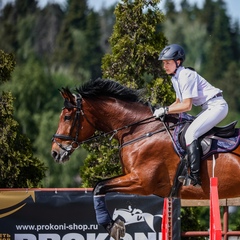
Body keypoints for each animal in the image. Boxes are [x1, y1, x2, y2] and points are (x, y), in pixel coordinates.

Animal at [51, 78, 240, 238]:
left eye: (67, 117)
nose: (55, 152)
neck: (142, 130)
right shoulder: (134, 180)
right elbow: (100, 186)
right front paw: (115, 224)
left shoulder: (142, 182)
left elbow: (99, 187)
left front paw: (113, 226)